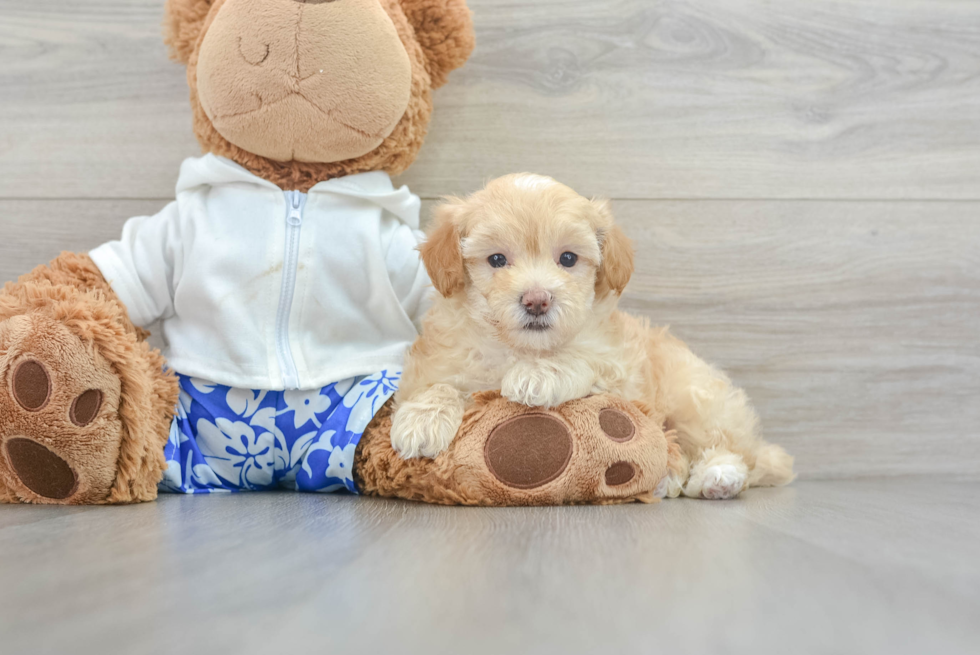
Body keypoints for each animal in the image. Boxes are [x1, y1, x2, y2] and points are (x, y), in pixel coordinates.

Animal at [386, 172, 792, 500]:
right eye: (497, 260)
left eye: (568, 258)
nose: (537, 300)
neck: (522, 348)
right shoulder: (435, 362)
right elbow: (437, 384)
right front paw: (421, 420)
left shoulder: (620, 372)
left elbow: (581, 361)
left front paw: (537, 375)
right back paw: (670, 479)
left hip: (694, 396)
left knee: (729, 447)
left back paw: (717, 475)